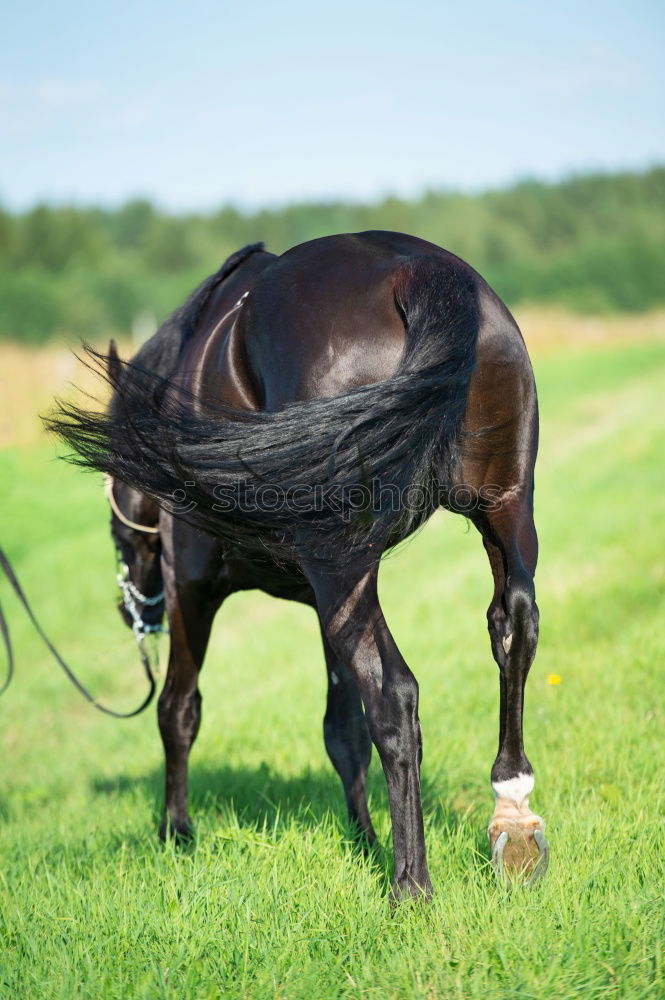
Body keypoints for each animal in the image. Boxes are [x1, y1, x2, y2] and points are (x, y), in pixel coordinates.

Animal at [45, 232, 544, 900]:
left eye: (111, 513)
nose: (132, 610)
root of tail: (422, 274)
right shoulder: (321, 601)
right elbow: (342, 729)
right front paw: (363, 837)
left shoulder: (193, 589)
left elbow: (178, 709)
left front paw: (176, 833)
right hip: (502, 513)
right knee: (513, 627)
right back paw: (512, 816)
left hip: (342, 567)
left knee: (394, 695)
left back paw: (410, 885)